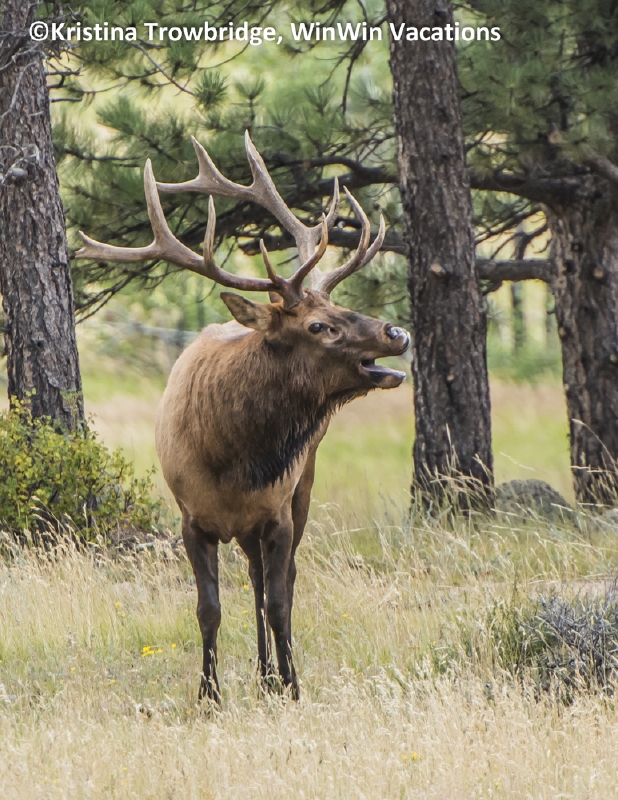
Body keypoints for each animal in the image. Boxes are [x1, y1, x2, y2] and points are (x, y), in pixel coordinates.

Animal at [76, 133, 410, 703]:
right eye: (318, 325)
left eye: (340, 306)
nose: (397, 332)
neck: (231, 459)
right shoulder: (191, 518)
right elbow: (208, 609)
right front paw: (209, 693)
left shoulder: (276, 511)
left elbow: (279, 601)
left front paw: (292, 685)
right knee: (253, 579)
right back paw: (261, 675)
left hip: (302, 486)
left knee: (275, 580)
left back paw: (271, 676)